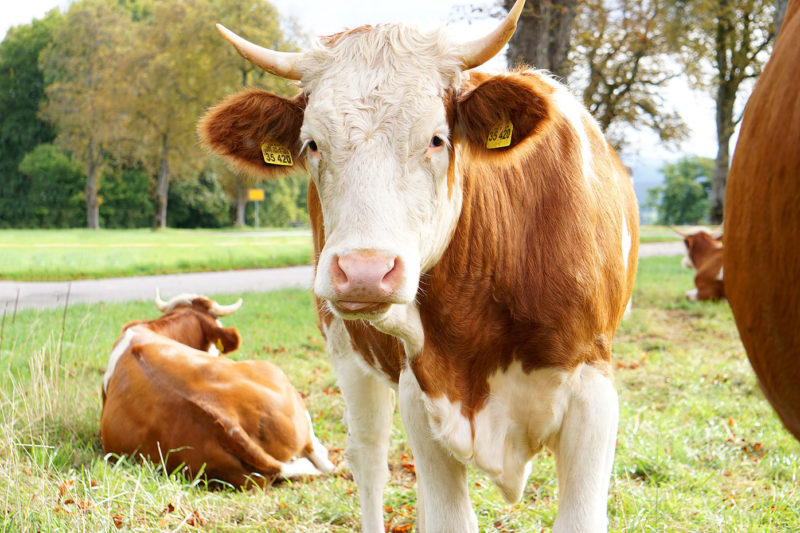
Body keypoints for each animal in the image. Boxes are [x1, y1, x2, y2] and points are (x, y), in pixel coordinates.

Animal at [198, 0, 639, 529]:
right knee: (369, 458)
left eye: (436, 139)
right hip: (346, 349)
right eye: (313, 144)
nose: (365, 271)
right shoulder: (420, 391)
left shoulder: (593, 394)